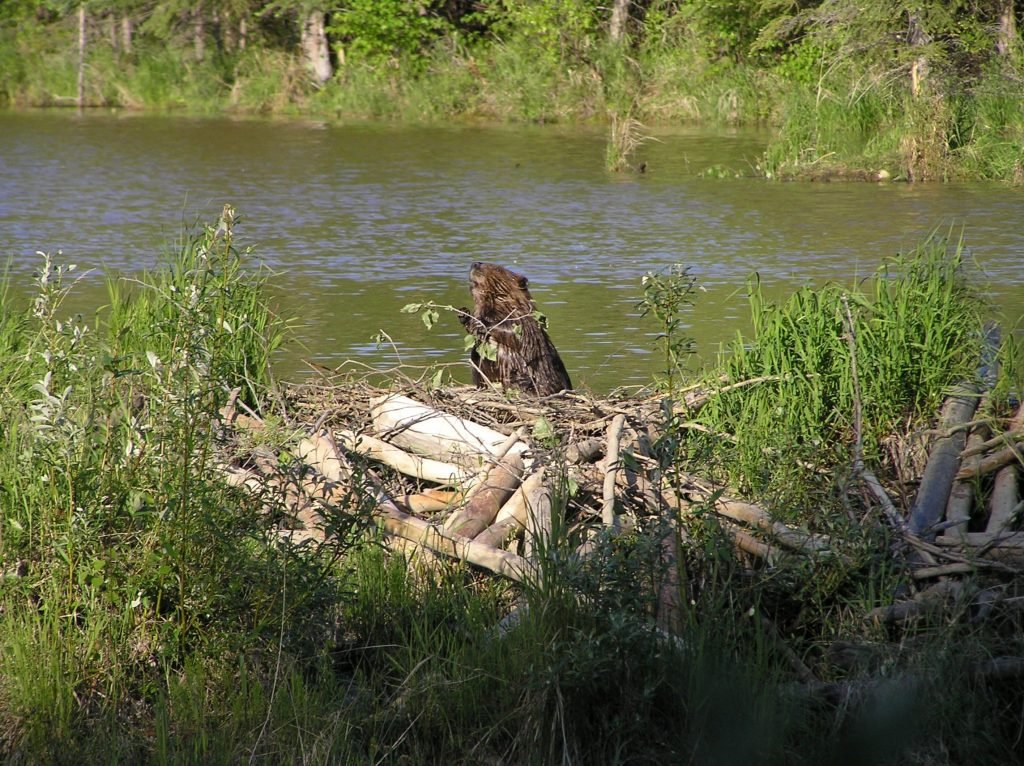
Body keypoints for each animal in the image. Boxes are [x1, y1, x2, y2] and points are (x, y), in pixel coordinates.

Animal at [460, 262, 573, 397]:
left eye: (498, 269)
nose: (475, 263)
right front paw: (464, 314)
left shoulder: (524, 317)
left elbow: (518, 334)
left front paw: (482, 324)